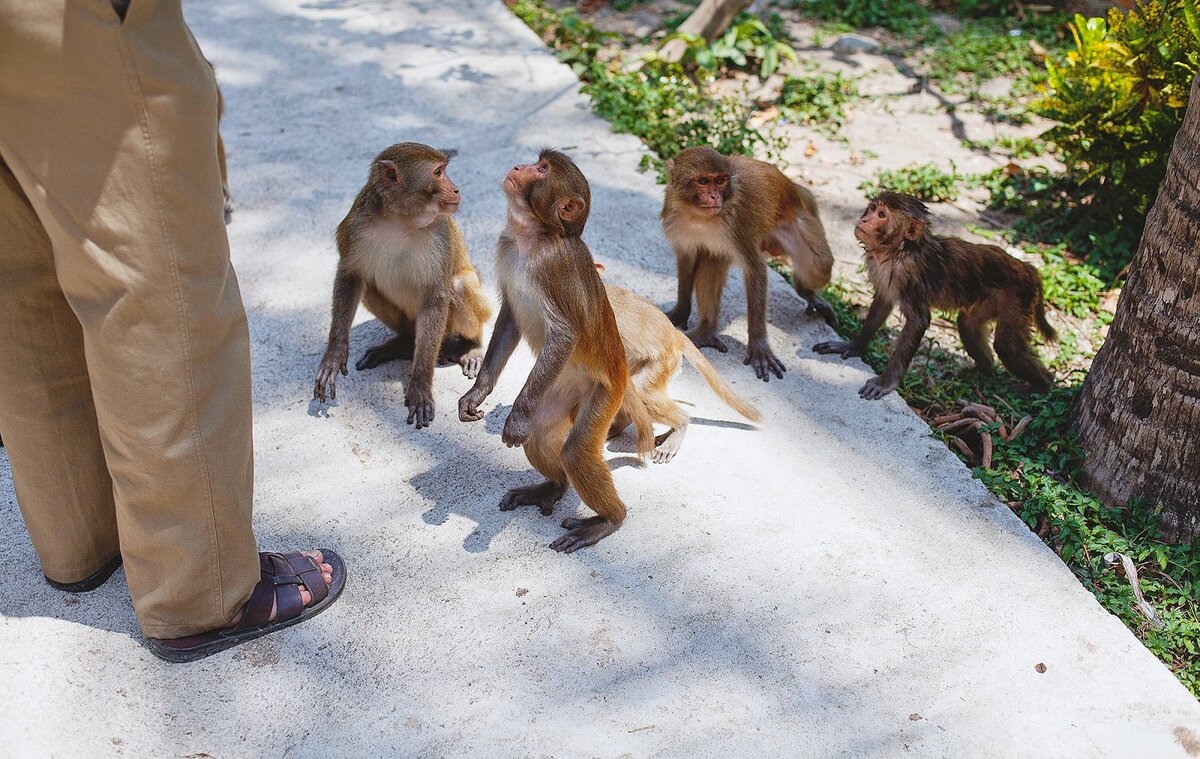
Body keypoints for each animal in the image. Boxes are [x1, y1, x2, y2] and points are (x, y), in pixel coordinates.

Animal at [316, 142, 494, 427]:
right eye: (438, 172)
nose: (456, 189)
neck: (401, 220)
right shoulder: (357, 224)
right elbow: (350, 276)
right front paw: (334, 355)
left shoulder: (440, 232)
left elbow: (435, 297)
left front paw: (420, 384)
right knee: (369, 286)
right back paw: (402, 343)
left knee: (456, 286)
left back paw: (471, 346)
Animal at [456, 148, 652, 552]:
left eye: (542, 169)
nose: (519, 166)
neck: (532, 238)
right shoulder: (506, 247)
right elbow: (511, 317)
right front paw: (477, 393)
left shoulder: (553, 266)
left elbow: (563, 335)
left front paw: (514, 419)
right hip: (559, 388)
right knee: (542, 433)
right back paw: (554, 486)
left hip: (605, 393)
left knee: (574, 452)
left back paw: (609, 520)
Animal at [662, 147, 840, 381]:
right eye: (703, 181)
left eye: (720, 181)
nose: (714, 196)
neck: (698, 216)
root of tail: (793, 187)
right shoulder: (675, 219)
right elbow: (687, 259)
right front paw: (681, 312)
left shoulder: (737, 225)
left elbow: (755, 270)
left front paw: (759, 346)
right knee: (712, 260)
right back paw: (705, 332)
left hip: (796, 223)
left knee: (820, 266)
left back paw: (806, 291)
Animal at [811, 189, 1056, 401]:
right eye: (872, 209)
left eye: (881, 215)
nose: (864, 220)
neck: (899, 251)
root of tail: (1025, 266)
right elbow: (882, 305)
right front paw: (853, 346)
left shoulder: (910, 275)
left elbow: (918, 322)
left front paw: (886, 382)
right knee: (967, 326)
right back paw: (982, 371)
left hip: (1017, 298)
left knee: (1006, 345)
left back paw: (1042, 385)